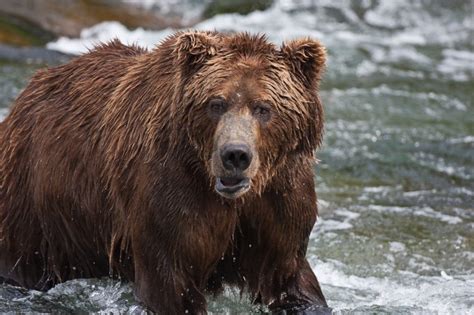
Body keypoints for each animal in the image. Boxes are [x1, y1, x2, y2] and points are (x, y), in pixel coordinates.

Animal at [0, 30, 330, 314]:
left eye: (263, 108)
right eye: (216, 103)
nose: (235, 155)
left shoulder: (279, 200)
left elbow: (287, 277)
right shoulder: (173, 191)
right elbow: (172, 280)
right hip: (34, 200)